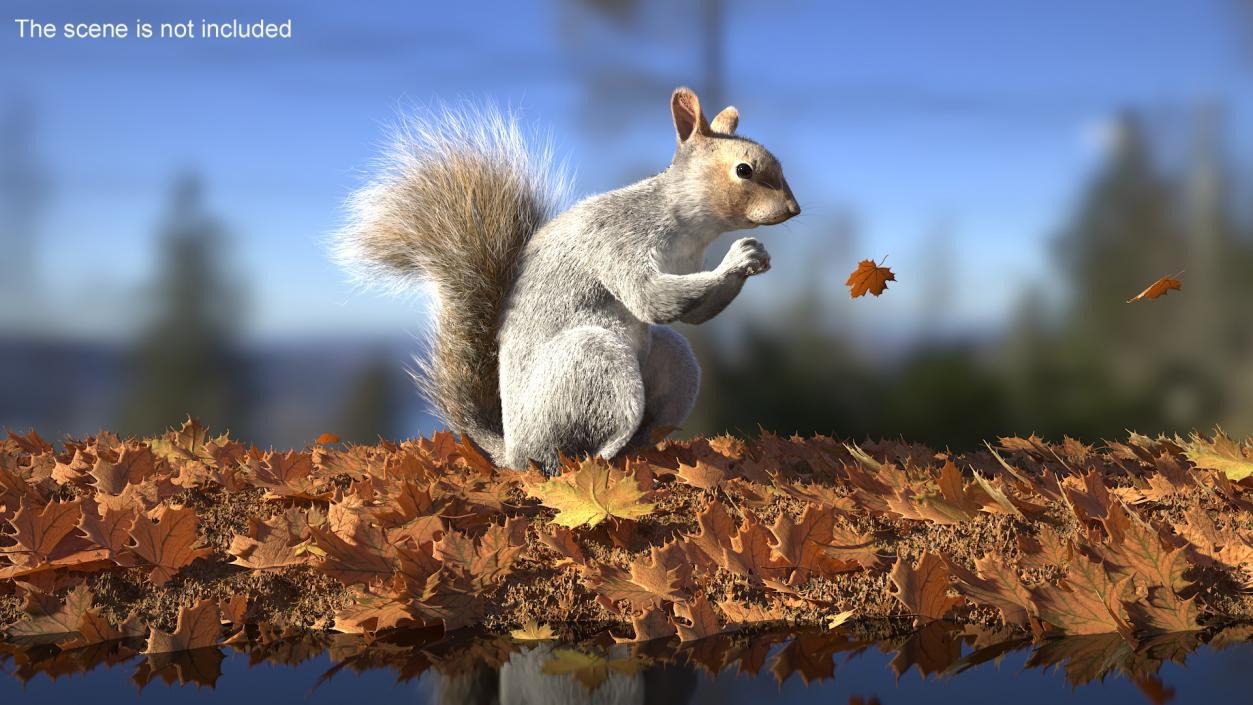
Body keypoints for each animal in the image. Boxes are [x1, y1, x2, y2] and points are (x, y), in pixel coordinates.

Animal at [333, 88, 796, 473]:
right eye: (743, 170)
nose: (794, 209)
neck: (690, 227)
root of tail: (513, 450)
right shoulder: (617, 240)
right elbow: (649, 298)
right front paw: (738, 258)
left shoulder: (687, 263)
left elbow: (695, 314)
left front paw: (753, 259)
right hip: (591, 364)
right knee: (568, 450)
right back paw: (604, 453)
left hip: (672, 363)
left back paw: (644, 448)